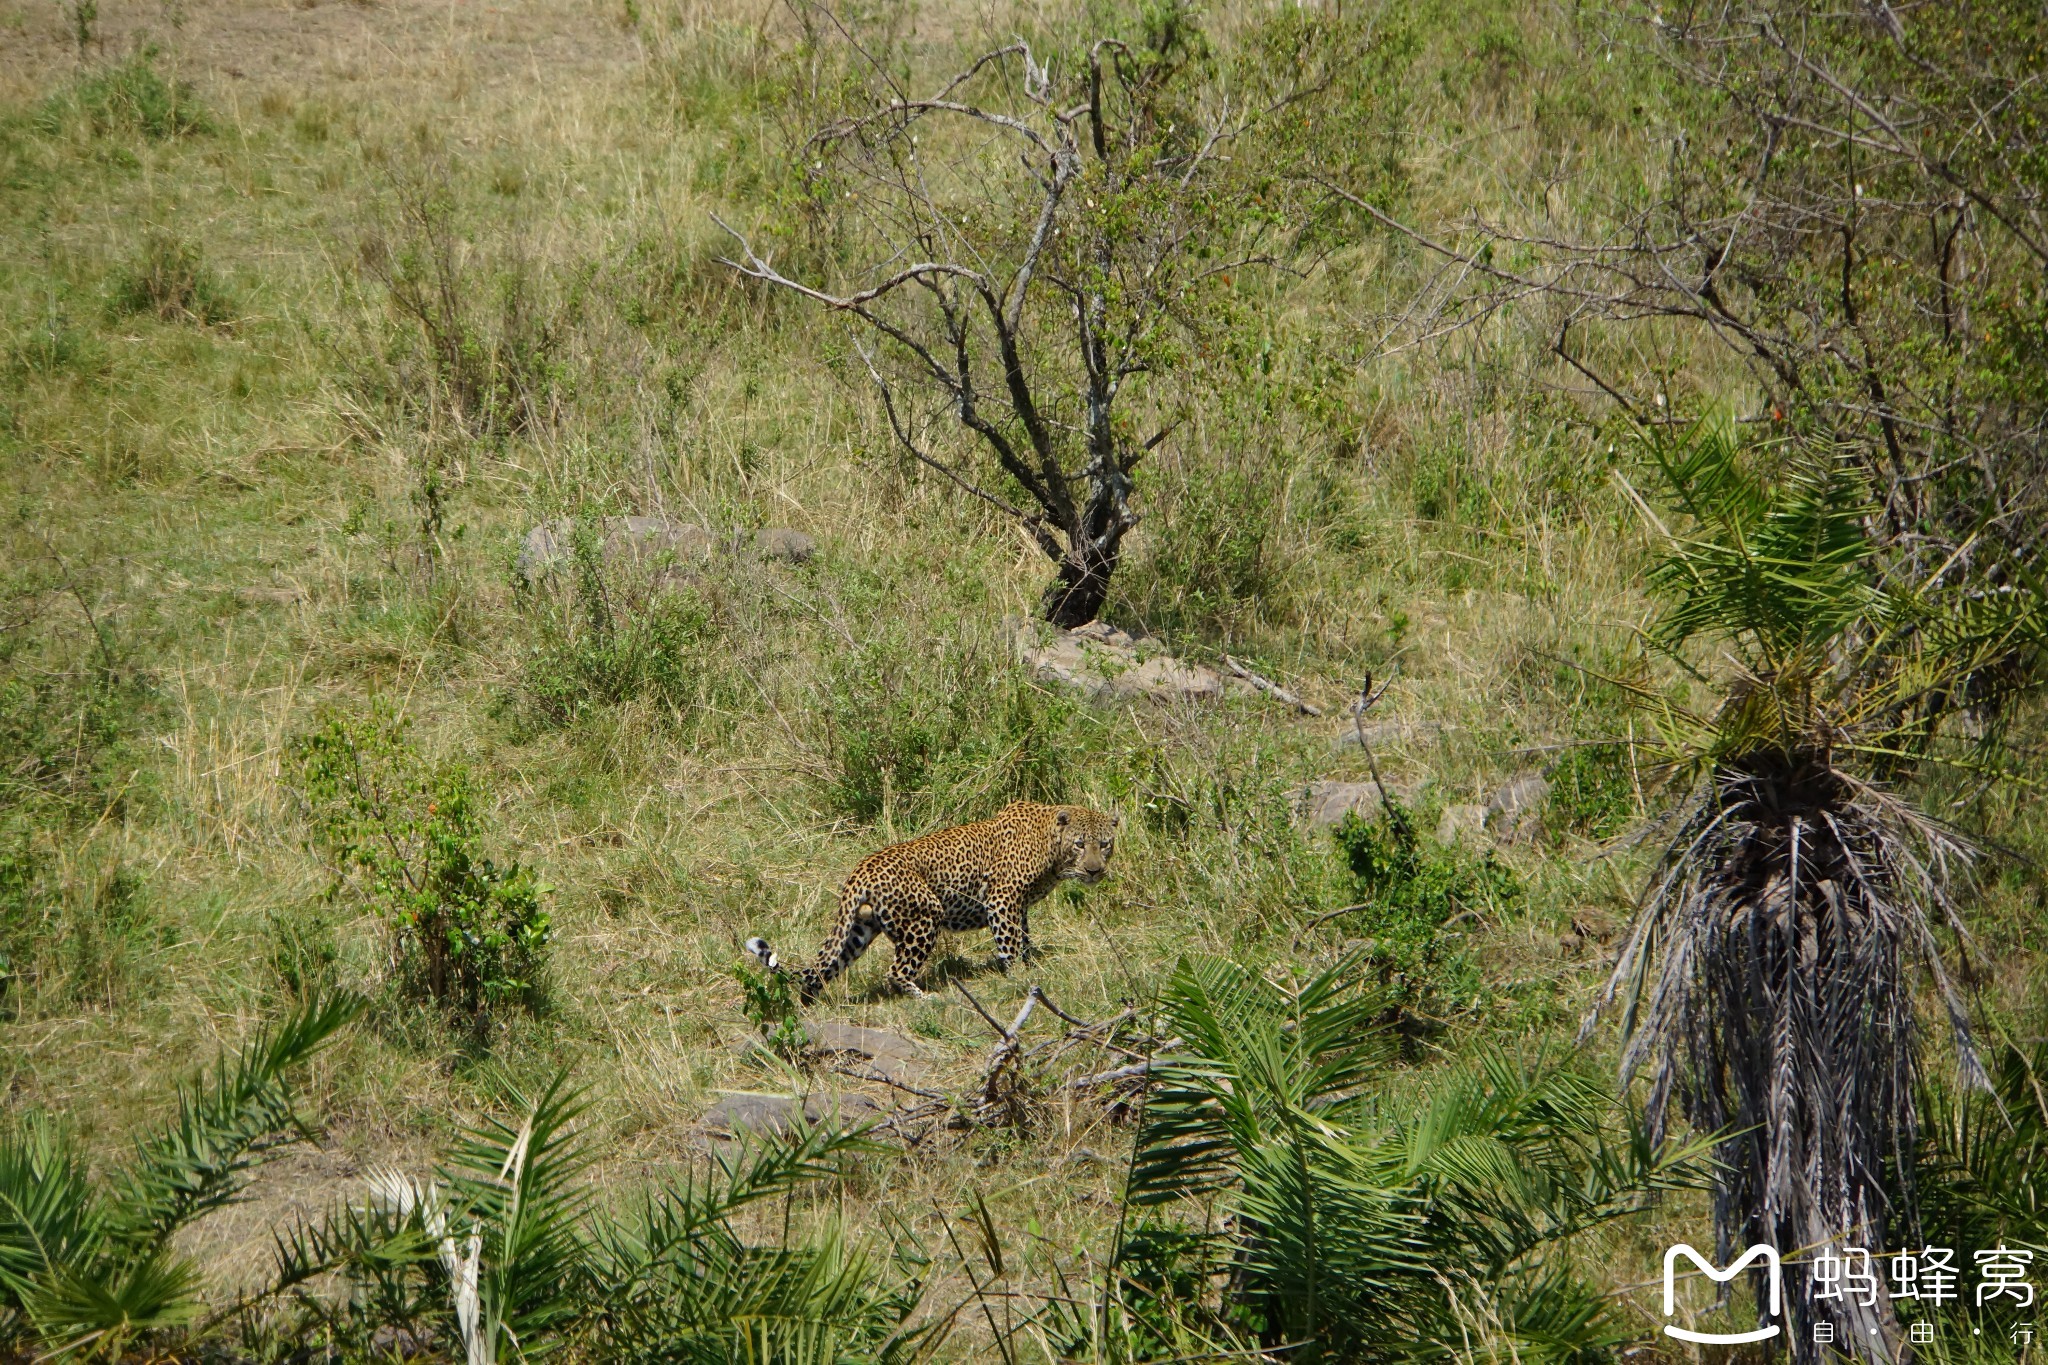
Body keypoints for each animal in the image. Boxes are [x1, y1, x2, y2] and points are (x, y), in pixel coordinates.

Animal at [745, 802, 1122, 1002]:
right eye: (1079, 844)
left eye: (1104, 844)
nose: (1094, 870)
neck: (1051, 849)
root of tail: (858, 872)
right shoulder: (1003, 899)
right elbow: (1010, 943)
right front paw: (1016, 977)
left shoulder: (1020, 906)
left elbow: (1024, 937)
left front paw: (1031, 968)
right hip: (925, 916)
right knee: (895, 971)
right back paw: (926, 999)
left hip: (859, 929)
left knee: (822, 968)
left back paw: (809, 1000)